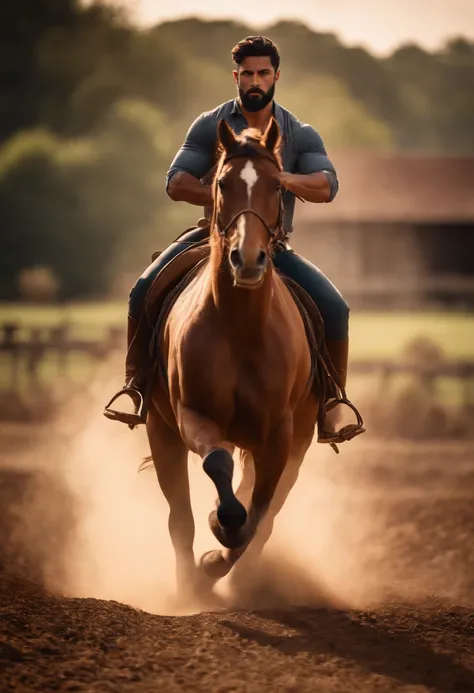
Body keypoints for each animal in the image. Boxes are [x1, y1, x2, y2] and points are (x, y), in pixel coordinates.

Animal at [148, 119, 318, 600]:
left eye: (277, 186)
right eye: (222, 183)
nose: (248, 259)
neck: (241, 328)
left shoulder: (280, 436)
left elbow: (259, 512)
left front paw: (219, 555)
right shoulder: (193, 416)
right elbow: (219, 467)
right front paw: (218, 528)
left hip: (298, 441)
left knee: (266, 510)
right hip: (160, 432)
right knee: (179, 516)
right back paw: (188, 585)